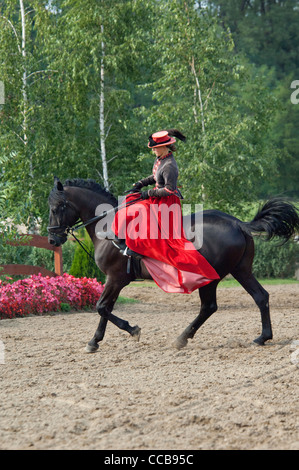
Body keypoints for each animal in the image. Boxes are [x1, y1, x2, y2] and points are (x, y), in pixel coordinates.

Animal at [48, 178, 298, 350]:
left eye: (57, 207)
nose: (52, 239)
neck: (108, 225)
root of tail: (238, 223)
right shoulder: (115, 280)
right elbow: (105, 308)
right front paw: (95, 341)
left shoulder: (116, 278)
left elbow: (101, 307)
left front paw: (132, 330)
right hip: (241, 270)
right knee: (260, 297)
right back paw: (262, 337)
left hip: (210, 277)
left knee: (209, 307)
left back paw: (181, 339)